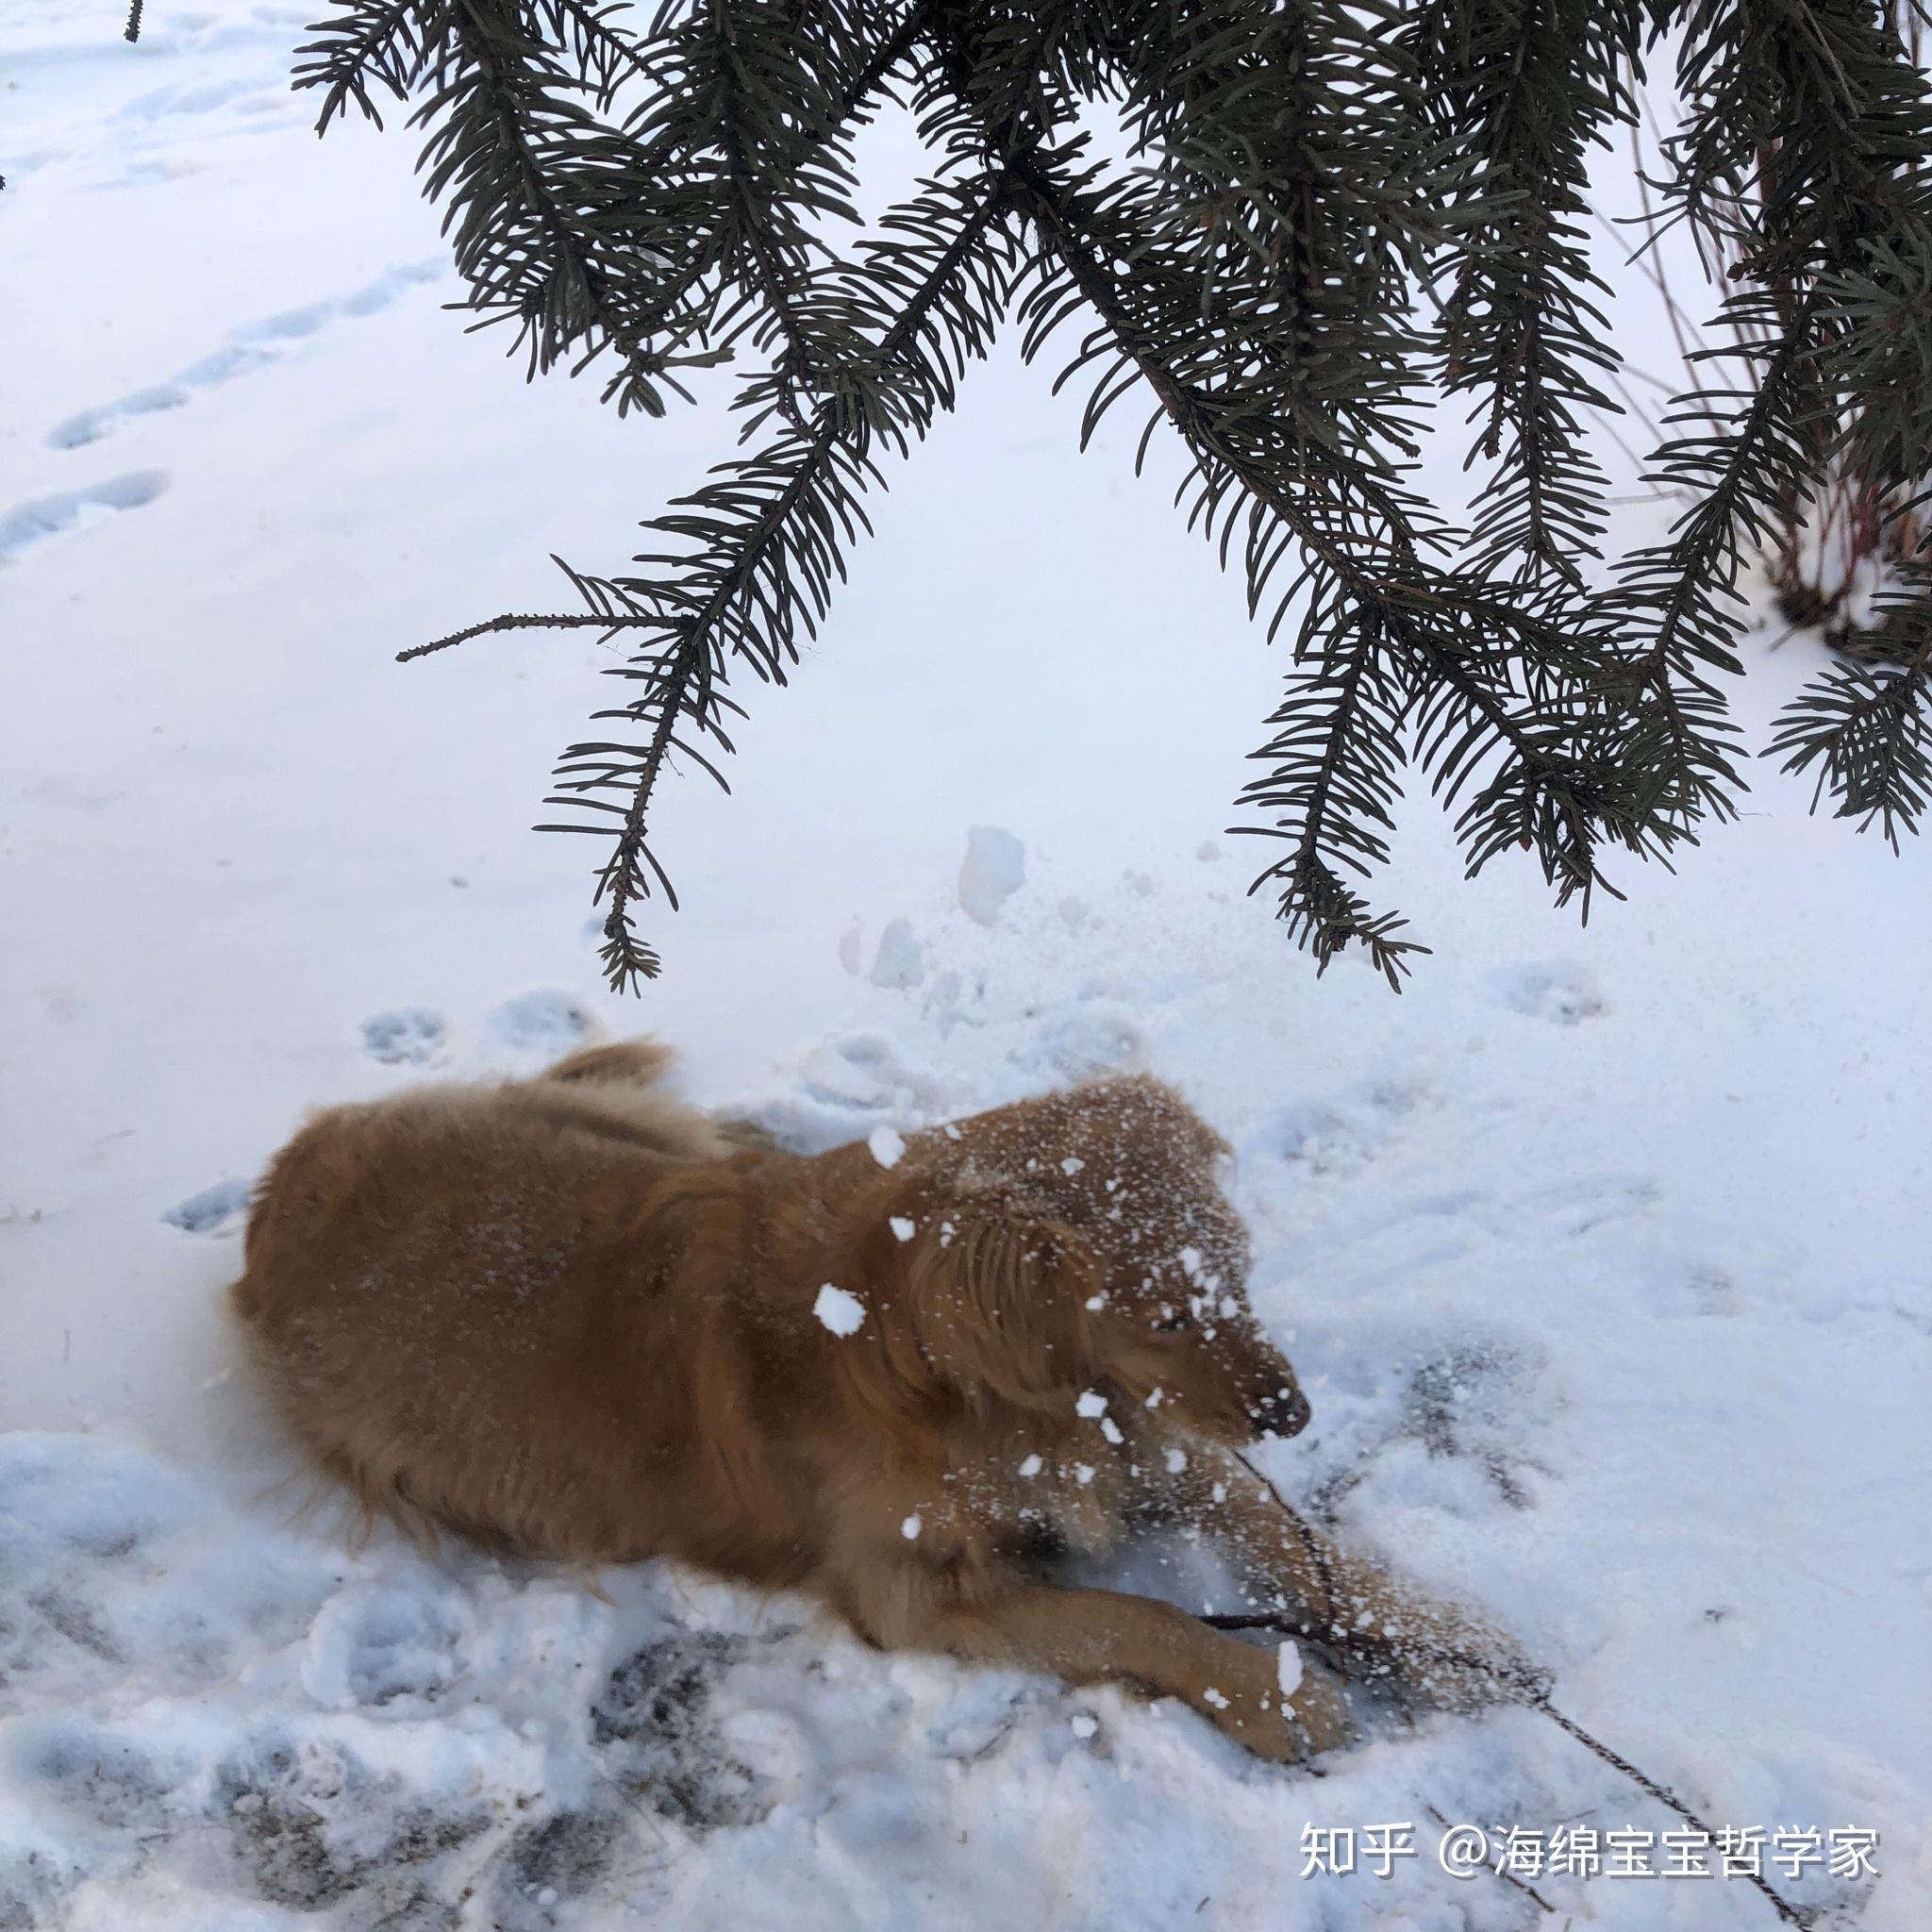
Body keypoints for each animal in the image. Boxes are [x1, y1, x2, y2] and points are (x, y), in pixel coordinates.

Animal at [233, 1051, 1514, 1761]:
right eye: (1162, 1313)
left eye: (1234, 1274)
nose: (1292, 1414)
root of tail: (277, 1186)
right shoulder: (915, 1587)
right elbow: (1134, 1614)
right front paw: (1270, 1691)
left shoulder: (1136, 1438)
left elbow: (1282, 1537)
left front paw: (1439, 1630)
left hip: (635, 1134)